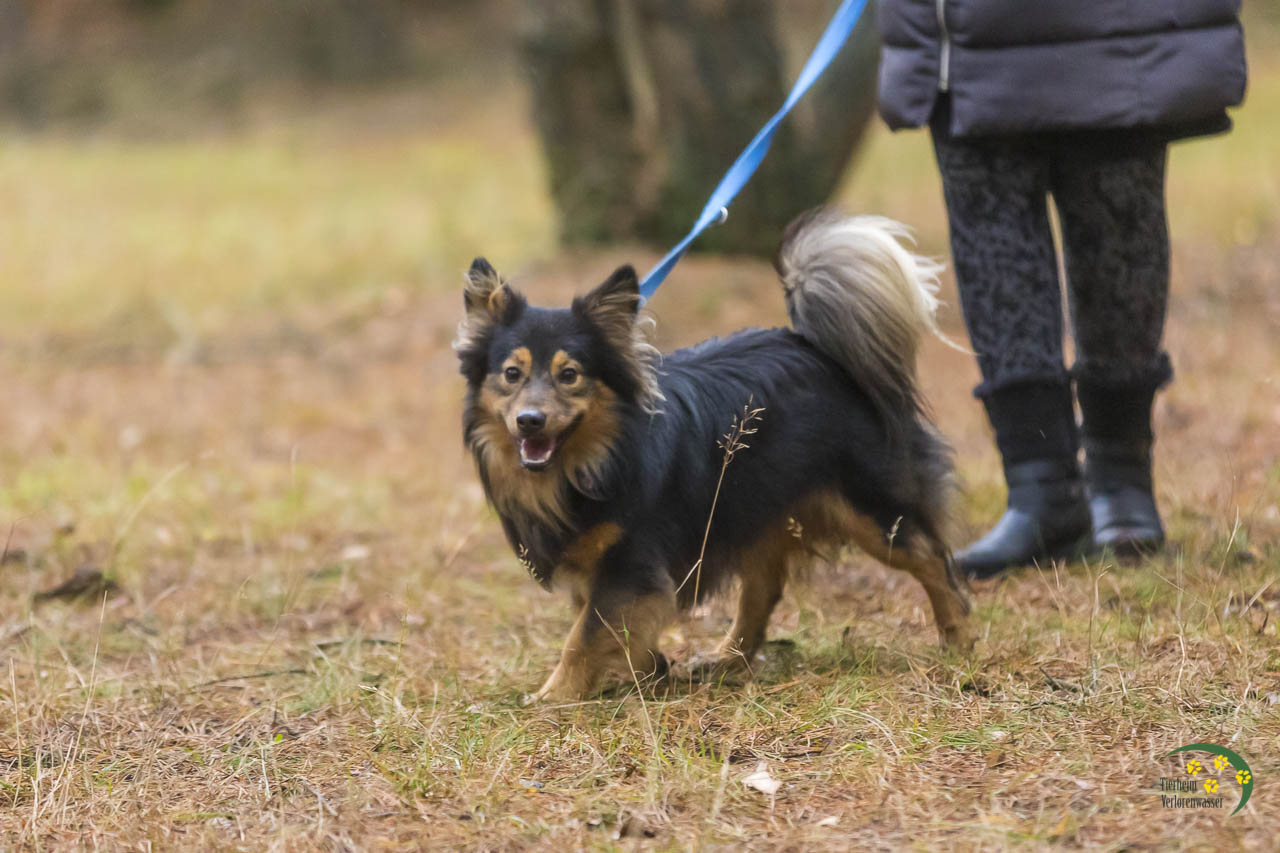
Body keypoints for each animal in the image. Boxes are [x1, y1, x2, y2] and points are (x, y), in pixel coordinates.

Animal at [455, 210, 972, 702]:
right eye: (511, 373)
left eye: (570, 375)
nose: (530, 420)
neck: (590, 461)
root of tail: (819, 349)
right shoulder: (605, 570)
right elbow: (613, 628)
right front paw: (649, 670)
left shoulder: (630, 562)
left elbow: (583, 638)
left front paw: (553, 698)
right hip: (757, 504)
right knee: (762, 590)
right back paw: (727, 658)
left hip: (870, 508)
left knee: (931, 558)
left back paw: (959, 638)